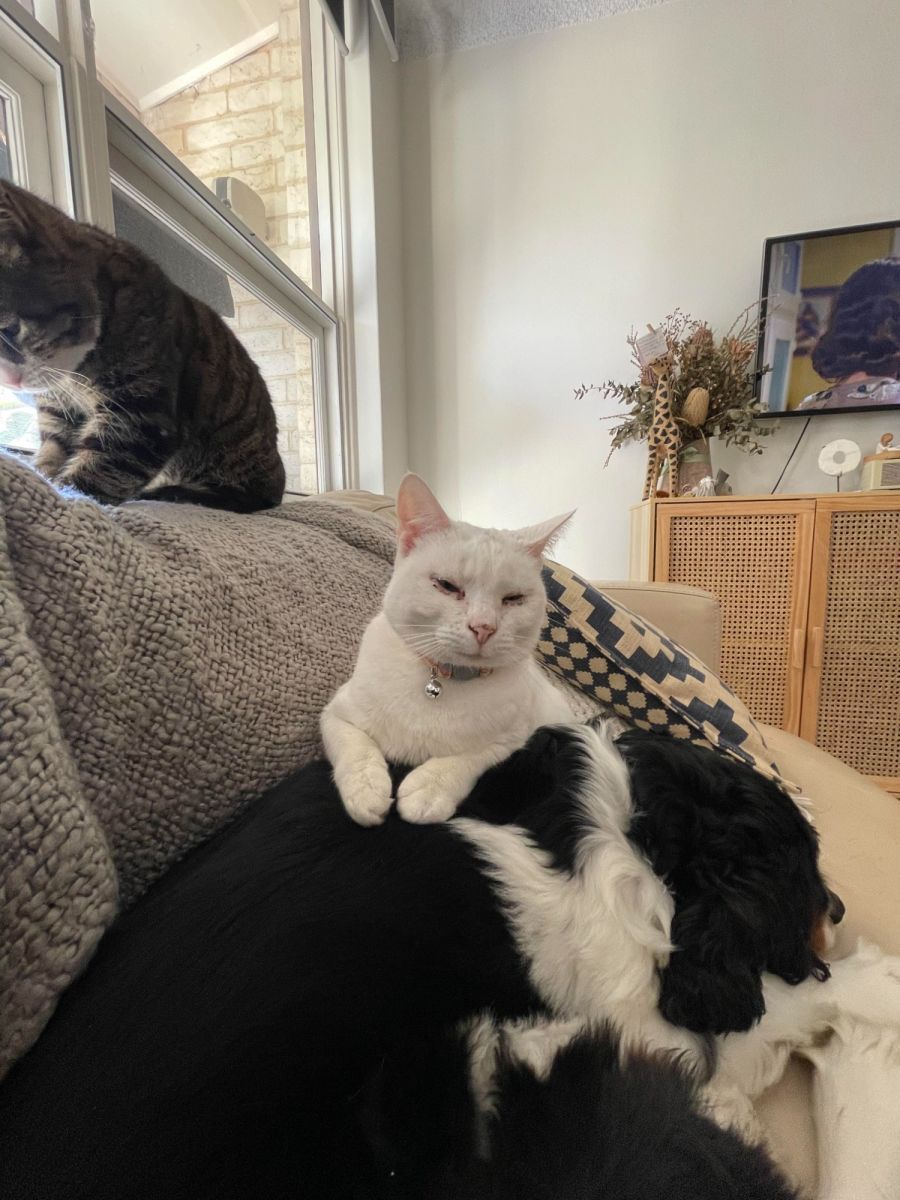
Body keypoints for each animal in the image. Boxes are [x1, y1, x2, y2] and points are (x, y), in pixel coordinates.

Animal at [0, 180, 284, 512]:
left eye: (9, 329)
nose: (9, 381)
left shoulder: (141, 415)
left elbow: (98, 473)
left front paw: (66, 497)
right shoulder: (60, 414)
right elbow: (52, 453)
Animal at [321, 473, 575, 825]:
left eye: (513, 599)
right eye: (446, 585)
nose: (484, 627)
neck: (442, 680)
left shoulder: (513, 738)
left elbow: (471, 756)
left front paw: (429, 789)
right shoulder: (335, 714)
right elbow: (355, 745)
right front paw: (366, 788)